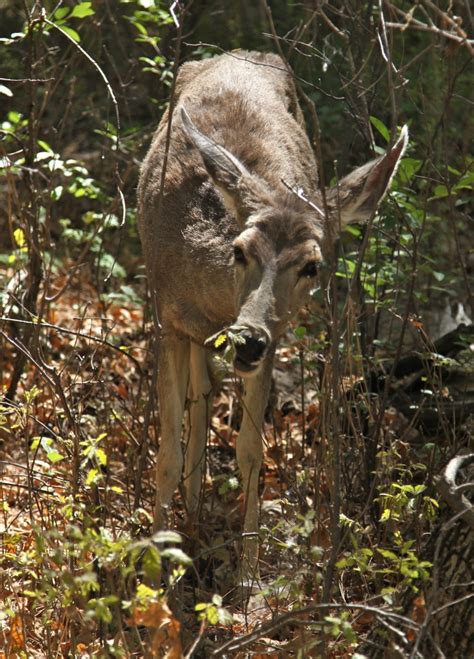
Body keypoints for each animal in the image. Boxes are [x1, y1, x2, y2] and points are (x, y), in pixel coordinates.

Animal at [137, 51, 408, 588]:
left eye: (312, 266)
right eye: (240, 249)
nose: (246, 340)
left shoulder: (274, 339)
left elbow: (250, 450)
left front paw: (246, 574)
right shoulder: (167, 318)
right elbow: (167, 452)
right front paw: (154, 576)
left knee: (204, 396)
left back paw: (194, 518)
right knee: (199, 398)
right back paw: (188, 519)